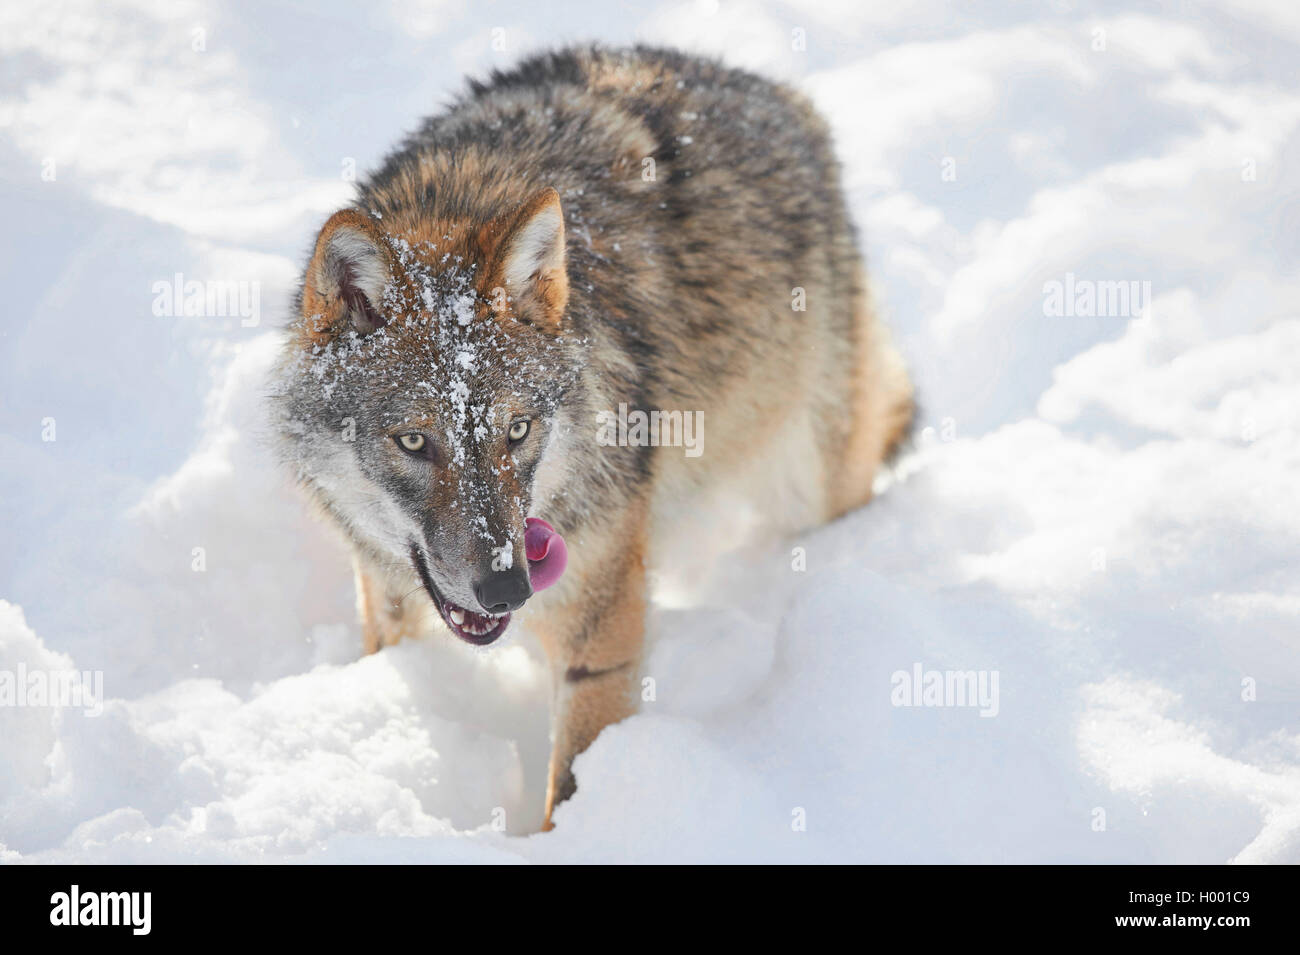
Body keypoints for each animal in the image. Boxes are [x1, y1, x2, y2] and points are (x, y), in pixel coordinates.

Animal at [271, 45, 913, 829]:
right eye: (416, 443)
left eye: (518, 431)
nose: (507, 587)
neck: (456, 200)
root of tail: (782, 96)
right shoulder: (387, 594)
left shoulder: (599, 626)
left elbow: (573, 777)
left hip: (806, 480)